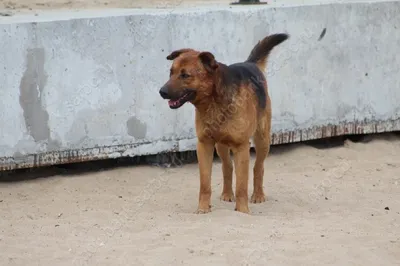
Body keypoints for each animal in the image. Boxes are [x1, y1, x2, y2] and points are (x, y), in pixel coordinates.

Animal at [159, 32, 288, 214]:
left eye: (185, 75)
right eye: (171, 73)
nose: (161, 92)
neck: (213, 102)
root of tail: (250, 63)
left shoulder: (241, 147)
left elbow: (241, 185)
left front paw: (242, 211)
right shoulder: (204, 145)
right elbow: (205, 184)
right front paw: (203, 209)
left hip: (263, 140)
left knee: (258, 167)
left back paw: (258, 195)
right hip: (221, 146)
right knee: (227, 167)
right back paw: (227, 194)